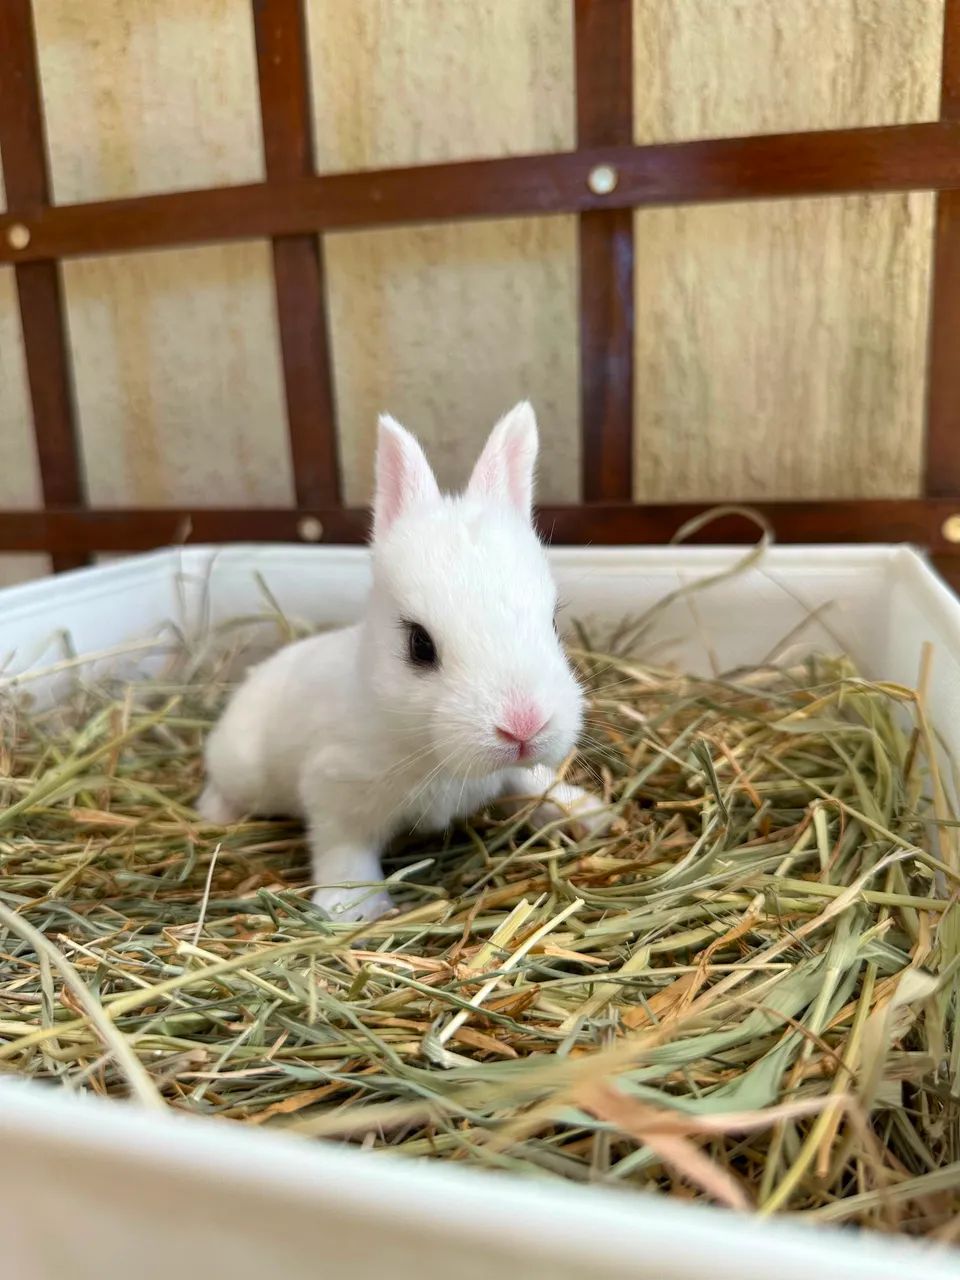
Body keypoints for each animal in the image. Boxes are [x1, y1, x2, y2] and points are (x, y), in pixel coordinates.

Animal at [197, 402, 609, 921]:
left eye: (553, 621)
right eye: (419, 645)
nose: (523, 727)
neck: (430, 750)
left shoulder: (512, 774)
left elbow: (535, 783)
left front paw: (591, 814)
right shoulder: (335, 791)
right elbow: (344, 850)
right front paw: (353, 910)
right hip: (241, 768)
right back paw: (213, 815)